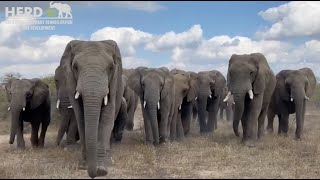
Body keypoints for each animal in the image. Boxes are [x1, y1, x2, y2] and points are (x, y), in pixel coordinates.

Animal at [60, 40, 124, 178]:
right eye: (75, 67)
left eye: (111, 67)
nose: (93, 175)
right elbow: (81, 118)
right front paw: (84, 165)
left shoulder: (114, 83)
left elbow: (107, 117)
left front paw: (102, 169)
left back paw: (108, 158)